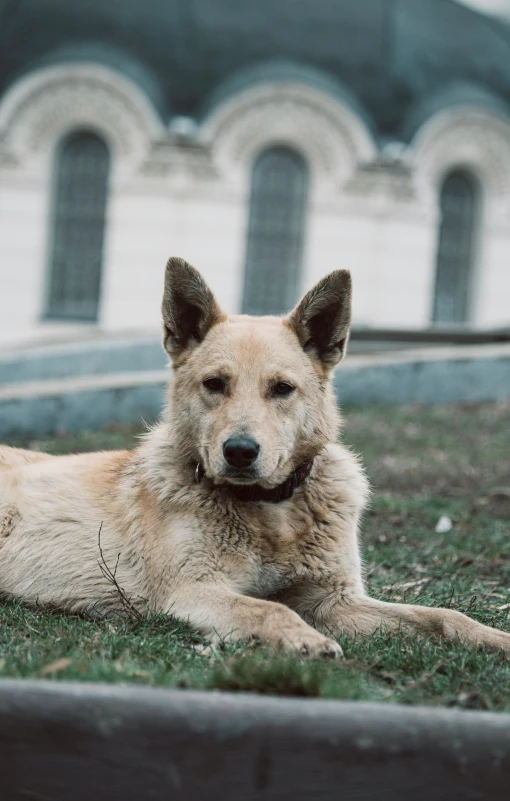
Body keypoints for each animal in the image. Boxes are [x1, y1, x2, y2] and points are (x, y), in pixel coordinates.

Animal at [0, 256, 510, 656]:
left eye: (282, 389)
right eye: (214, 384)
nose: (240, 451)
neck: (270, 509)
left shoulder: (335, 602)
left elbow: (443, 616)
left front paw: (493, 639)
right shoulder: (192, 591)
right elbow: (266, 608)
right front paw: (305, 641)